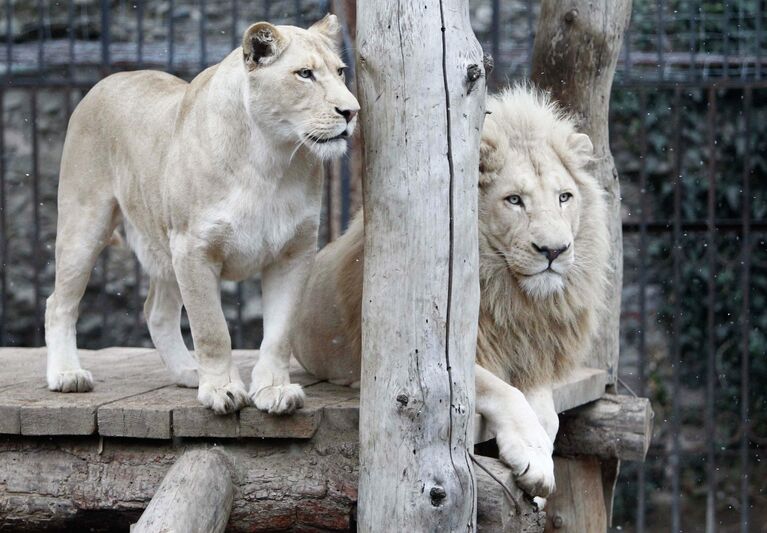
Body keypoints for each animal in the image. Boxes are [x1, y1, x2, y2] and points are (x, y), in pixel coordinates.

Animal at [45, 13, 360, 416]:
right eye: (305, 74)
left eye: (340, 72)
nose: (351, 111)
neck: (269, 159)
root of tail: (107, 80)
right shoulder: (194, 249)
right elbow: (212, 329)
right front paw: (222, 390)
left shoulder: (294, 252)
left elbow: (279, 333)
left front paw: (273, 390)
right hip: (85, 224)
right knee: (59, 303)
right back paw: (66, 374)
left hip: (162, 244)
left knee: (157, 312)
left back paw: (187, 371)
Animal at [292, 85, 608, 496]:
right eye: (514, 200)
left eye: (564, 197)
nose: (554, 251)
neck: (512, 296)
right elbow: (506, 392)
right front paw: (534, 458)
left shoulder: (533, 358)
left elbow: (547, 412)